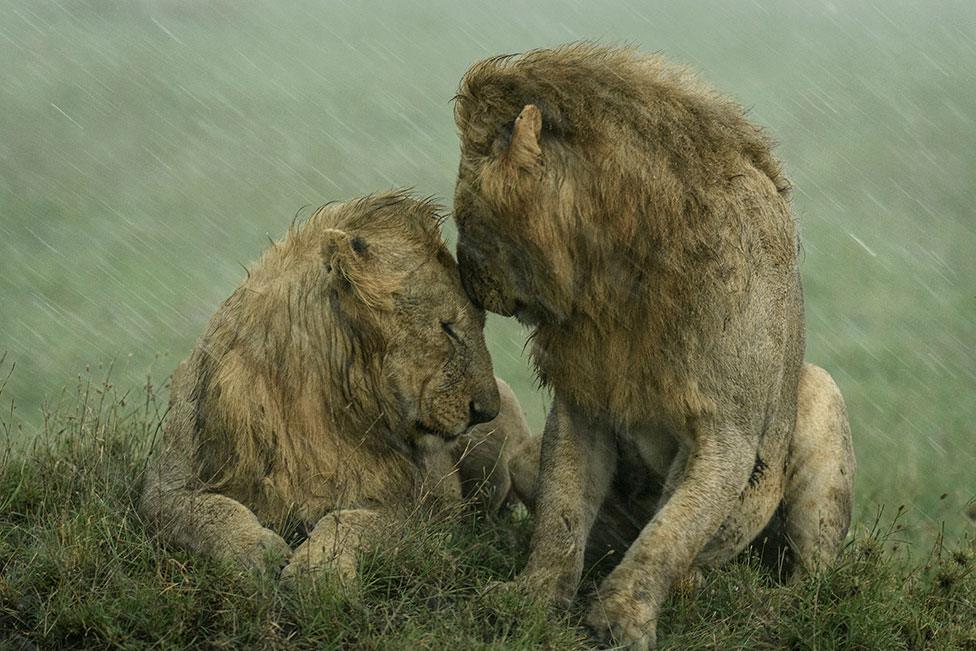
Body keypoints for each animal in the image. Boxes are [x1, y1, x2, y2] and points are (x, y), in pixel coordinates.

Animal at [140, 191, 532, 584]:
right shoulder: (165, 486)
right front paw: (255, 551)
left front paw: (319, 569)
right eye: (448, 328)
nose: (486, 411)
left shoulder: (425, 513)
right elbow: (208, 511)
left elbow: (351, 519)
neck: (312, 400)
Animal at [450, 44, 856, 648]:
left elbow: (671, 531)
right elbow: (561, 517)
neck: (618, 274)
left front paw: (623, 618)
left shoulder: (728, 433)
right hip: (523, 457)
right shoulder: (583, 404)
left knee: (813, 572)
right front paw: (531, 599)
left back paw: (763, 600)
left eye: (465, 217)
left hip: (819, 397)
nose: (468, 283)